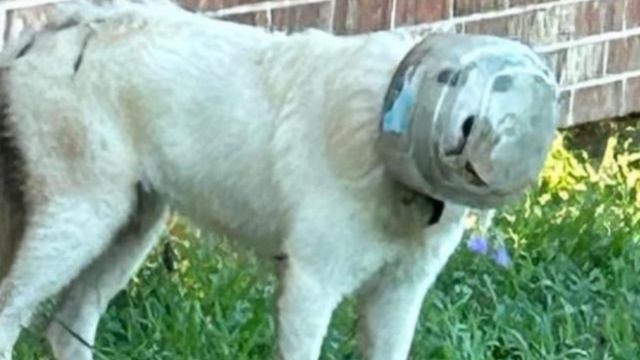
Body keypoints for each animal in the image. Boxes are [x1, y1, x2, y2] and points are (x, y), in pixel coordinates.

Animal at [0, 1, 556, 358]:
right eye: (461, 102)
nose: (477, 145)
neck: (380, 129)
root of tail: (62, 27)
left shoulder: (399, 296)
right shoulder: (311, 285)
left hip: (132, 227)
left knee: (67, 326)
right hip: (83, 218)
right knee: (11, 310)